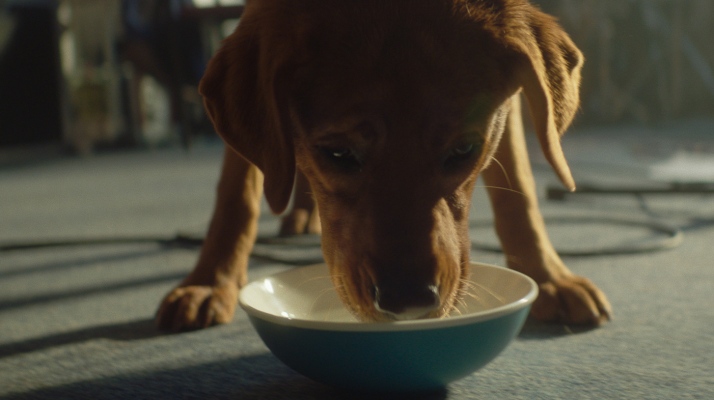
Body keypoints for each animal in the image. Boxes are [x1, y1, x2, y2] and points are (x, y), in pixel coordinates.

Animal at [156, 0, 611, 331]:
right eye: (338, 153)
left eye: (464, 149)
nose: (408, 301)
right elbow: (236, 192)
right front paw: (209, 281)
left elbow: (519, 188)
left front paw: (548, 276)